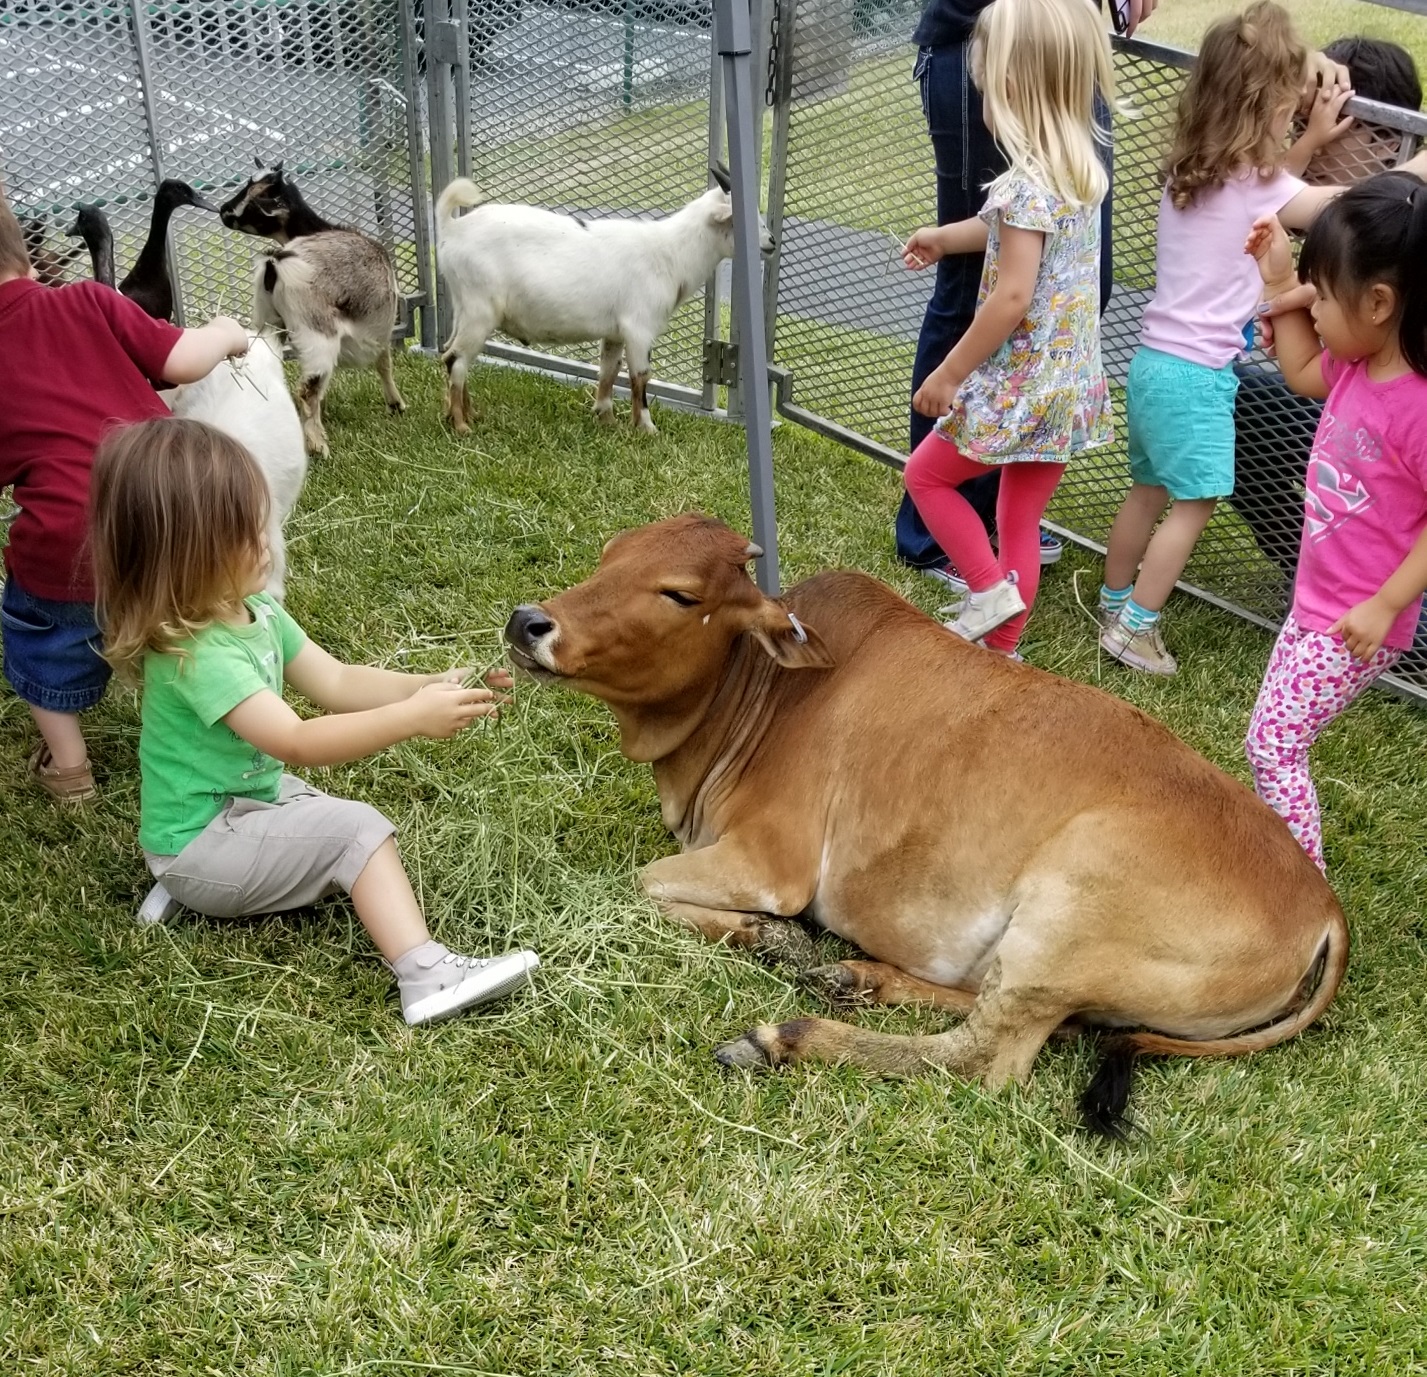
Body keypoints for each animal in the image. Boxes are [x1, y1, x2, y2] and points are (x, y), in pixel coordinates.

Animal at [219, 160, 405, 450]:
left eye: (259, 196)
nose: (223, 211)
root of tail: (276, 263)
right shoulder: (380, 327)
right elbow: (384, 362)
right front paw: (396, 404)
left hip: (267, 322)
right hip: (318, 333)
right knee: (308, 389)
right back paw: (318, 444)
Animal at [433, 167, 776, 436]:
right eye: (743, 220)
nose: (771, 242)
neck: (670, 253)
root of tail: (452, 229)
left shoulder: (615, 332)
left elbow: (609, 371)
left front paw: (606, 418)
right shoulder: (639, 328)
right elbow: (640, 376)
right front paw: (647, 428)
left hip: (464, 307)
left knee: (450, 352)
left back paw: (465, 413)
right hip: (480, 309)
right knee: (456, 359)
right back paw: (462, 426)